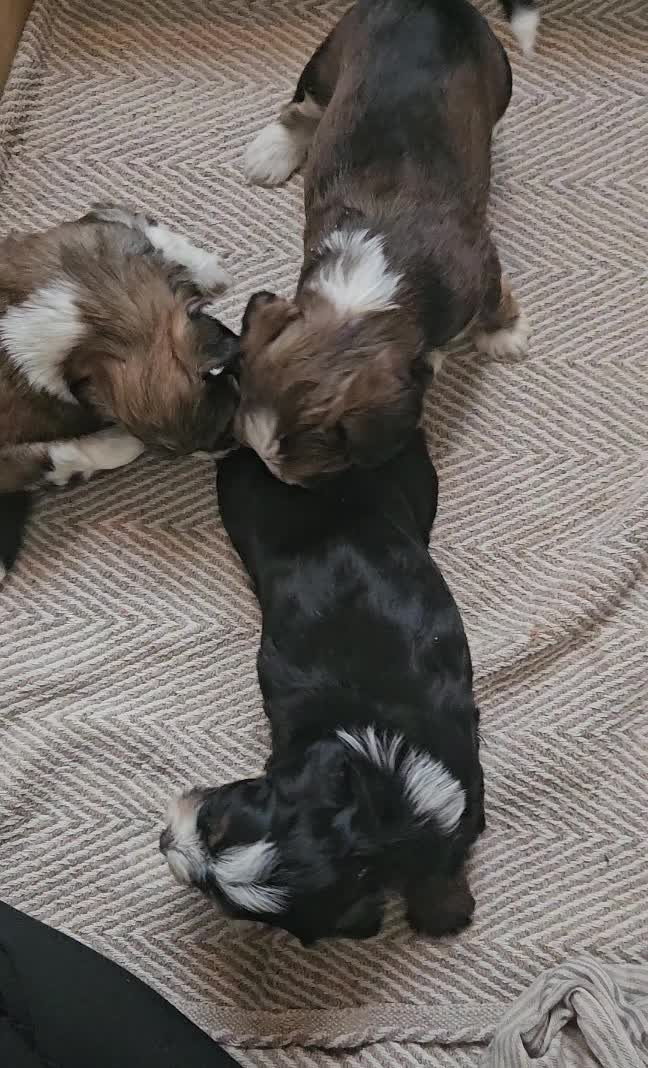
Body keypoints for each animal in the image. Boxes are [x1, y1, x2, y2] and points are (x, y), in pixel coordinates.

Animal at [235, 0, 527, 486]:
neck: (371, 286)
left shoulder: (481, 266)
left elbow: (494, 302)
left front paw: (505, 336)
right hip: (327, 61)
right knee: (301, 109)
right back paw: (270, 153)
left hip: (501, 75)